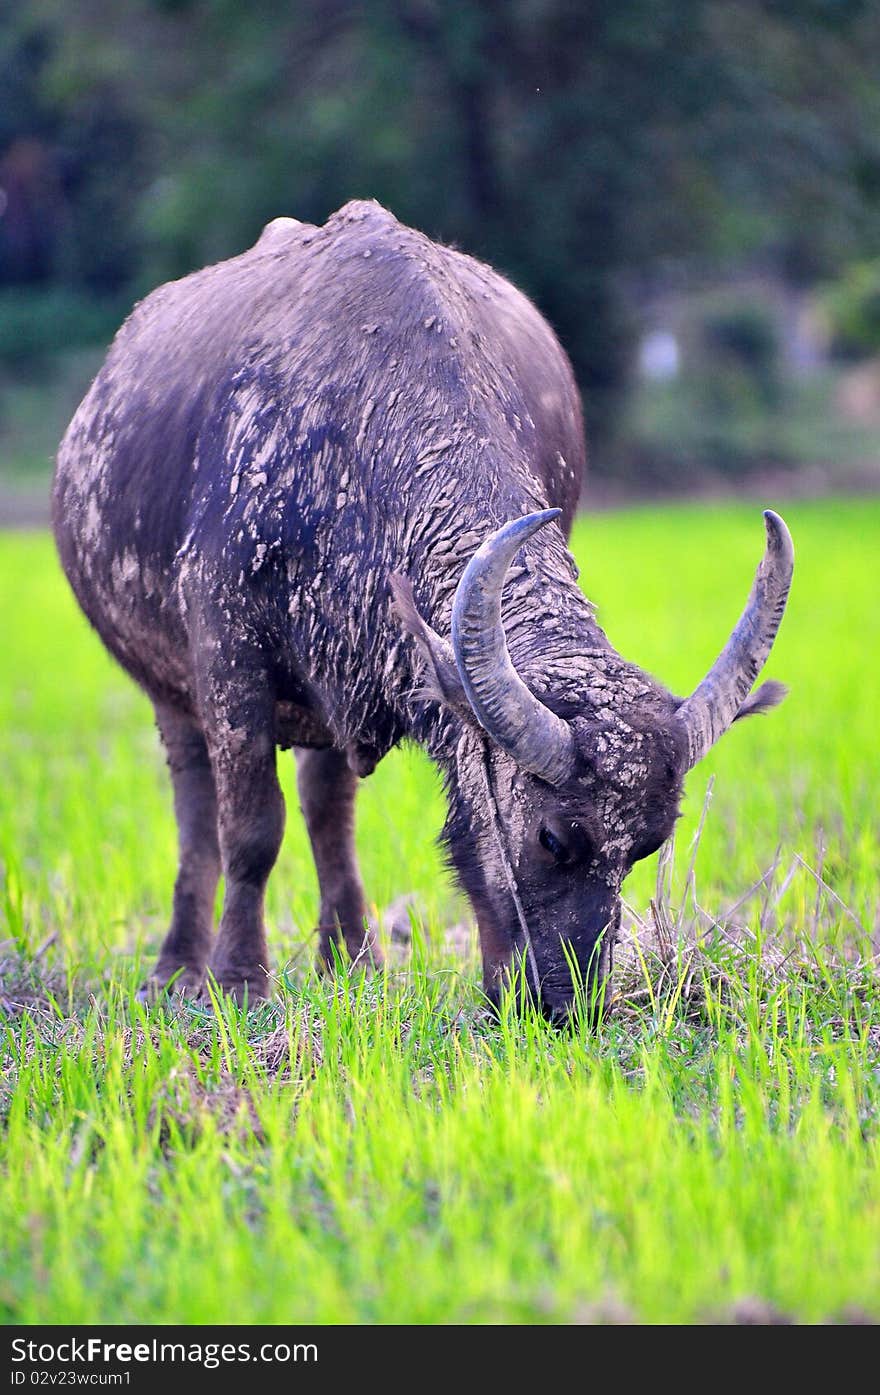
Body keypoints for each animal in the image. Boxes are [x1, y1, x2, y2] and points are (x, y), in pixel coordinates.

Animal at [49, 199, 792, 1015]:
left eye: (647, 846)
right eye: (554, 838)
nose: (568, 1003)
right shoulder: (228, 654)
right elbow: (249, 827)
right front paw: (240, 981)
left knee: (328, 803)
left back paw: (352, 958)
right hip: (170, 687)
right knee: (195, 805)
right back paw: (179, 966)